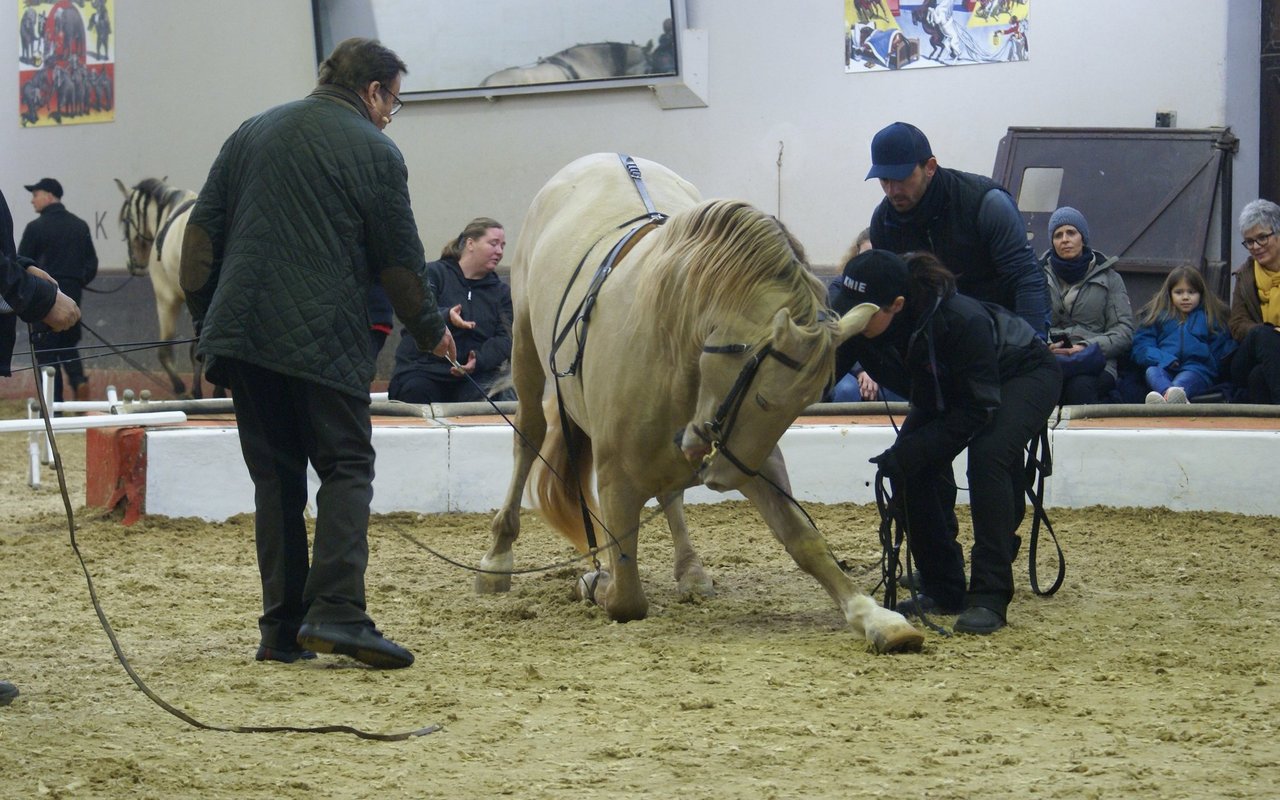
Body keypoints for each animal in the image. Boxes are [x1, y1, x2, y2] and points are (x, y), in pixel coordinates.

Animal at [478, 152, 921, 652]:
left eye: (802, 404)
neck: (673, 339)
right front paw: (596, 582)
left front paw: (875, 616)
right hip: (525, 348)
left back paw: (690, 570)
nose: (727, 477)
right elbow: (627, 597)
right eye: (763, 397)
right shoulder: (618, 478)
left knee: (670, 491)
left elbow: (804, 538)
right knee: (529, 436)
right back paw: (498, 558)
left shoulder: (752, 459)